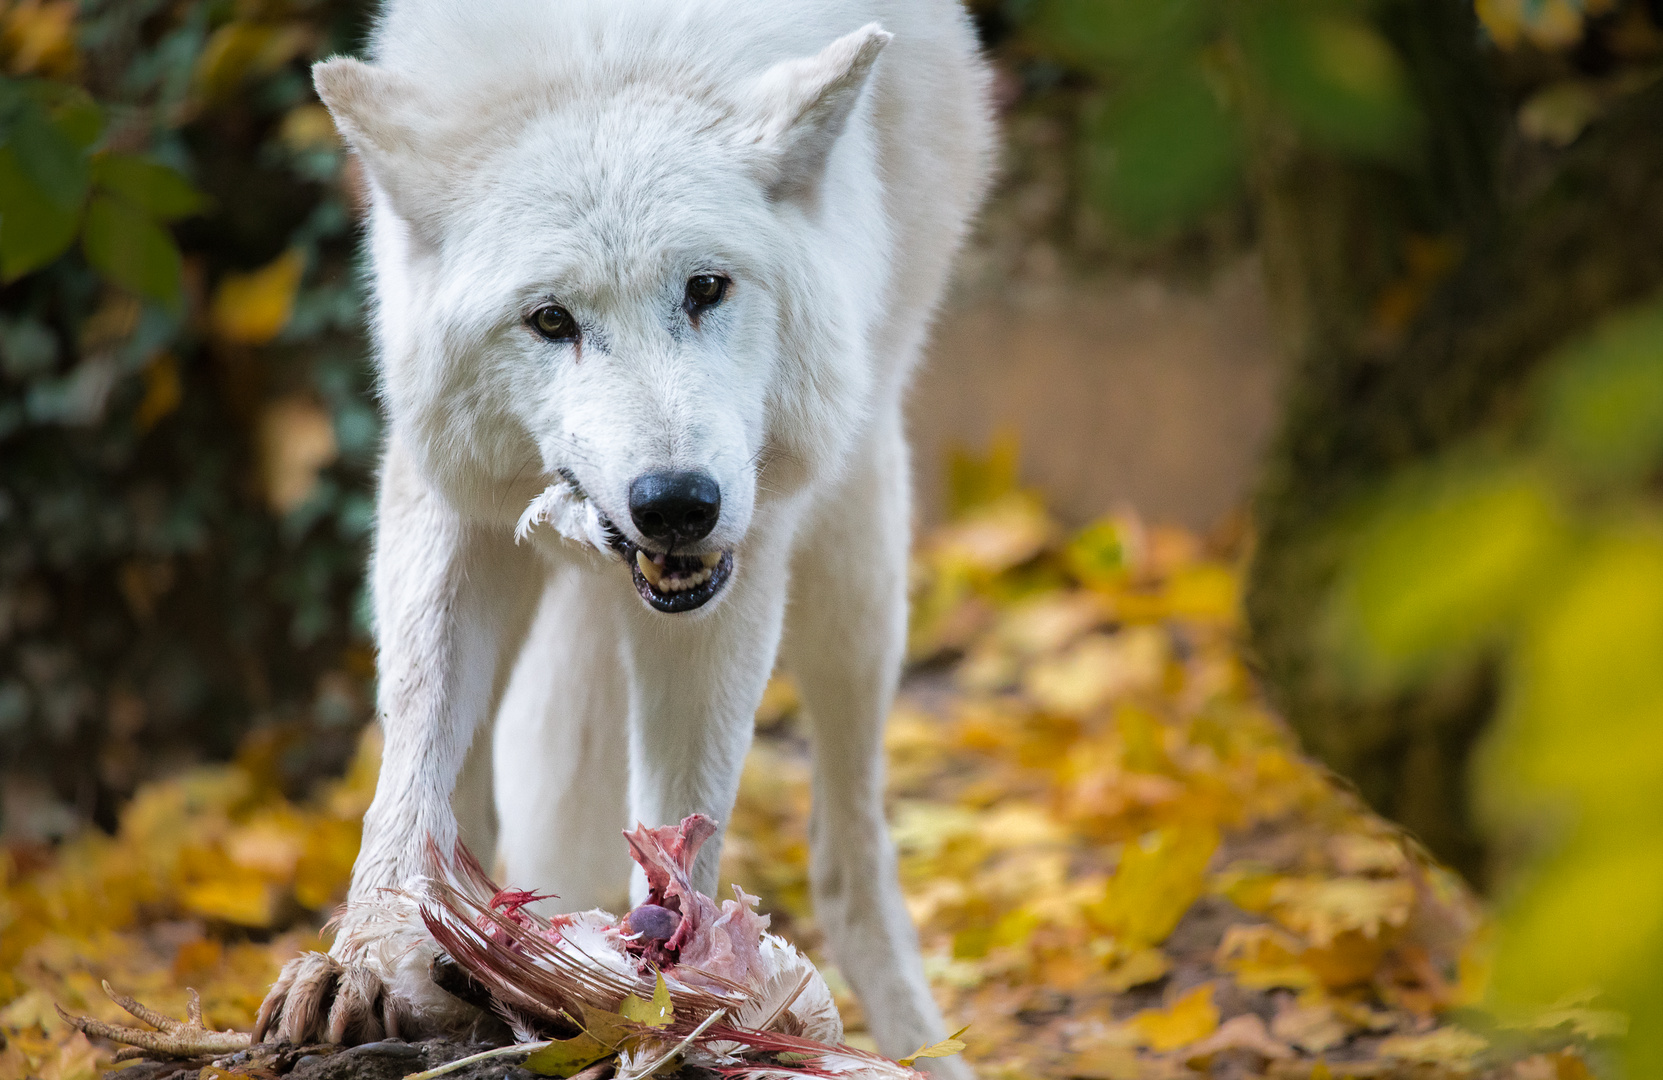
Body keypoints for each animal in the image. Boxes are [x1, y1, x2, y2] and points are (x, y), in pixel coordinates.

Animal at [252, 0, 991, 1058]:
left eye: (707, 288)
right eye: (550, 319)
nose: (676, 501)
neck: (608, 44)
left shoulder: (742, 566)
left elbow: (685, 816)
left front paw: (672, 994)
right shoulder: (447, 500)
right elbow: (413, 760)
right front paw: (366, 960)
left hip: (858, 567)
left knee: (847, 859)